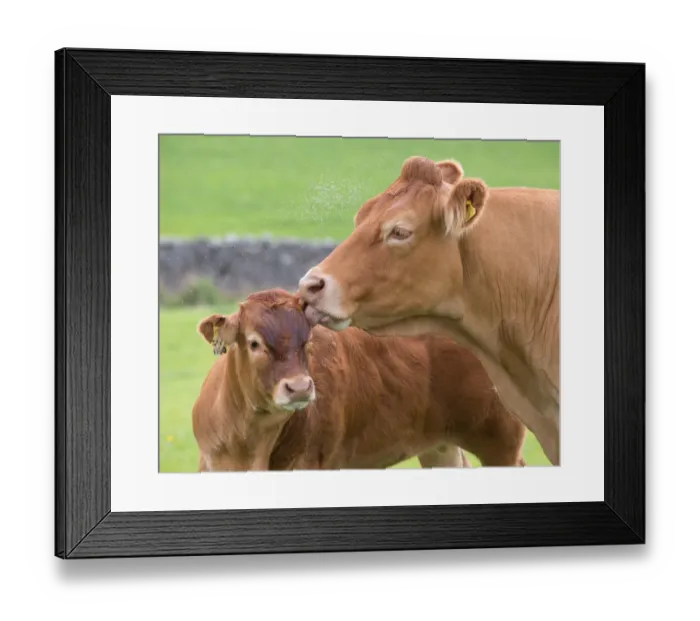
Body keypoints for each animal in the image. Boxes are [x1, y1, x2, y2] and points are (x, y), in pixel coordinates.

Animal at [191, 288, 527, 472]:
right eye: (254, 343)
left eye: (307, 341)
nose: (299, 387)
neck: (247, 444)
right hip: (440, 446)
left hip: (501, 442)